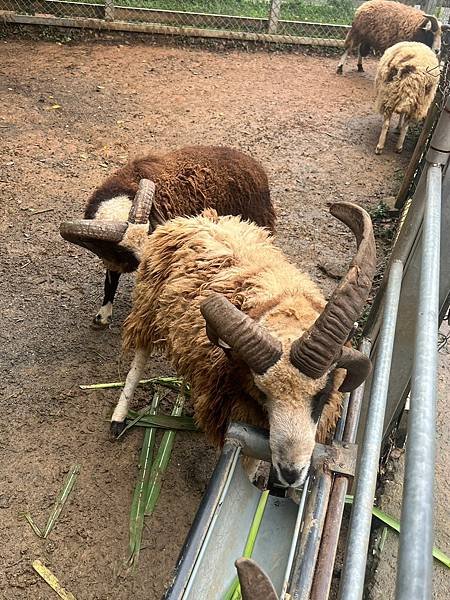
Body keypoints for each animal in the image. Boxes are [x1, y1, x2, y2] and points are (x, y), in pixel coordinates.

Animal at [59, 148, 274, 330]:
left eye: (149, 231)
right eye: (122, 249)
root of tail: (254, 166)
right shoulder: (112, 257)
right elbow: (110, 281)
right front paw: (102, 317)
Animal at [110, 204, 376, 490]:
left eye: (322, 393)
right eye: (262, 394)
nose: (291, 473)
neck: (281, 306)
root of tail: (196, 218)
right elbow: (246, 466)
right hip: (148, 304)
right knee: (140, 355)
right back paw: (118, 418)